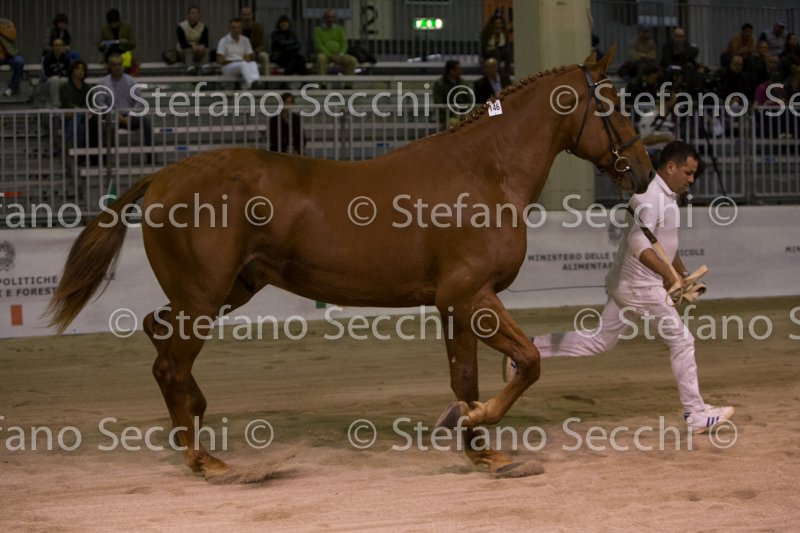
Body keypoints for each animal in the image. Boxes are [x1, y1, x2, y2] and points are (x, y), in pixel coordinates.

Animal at [47, 47, 653, 479]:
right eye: (615, 105)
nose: (645, 172)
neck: (483, 172)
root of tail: (162, 177)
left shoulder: (455, 305)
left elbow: (465, 378)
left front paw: (481, 451)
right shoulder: (471, 296)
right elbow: (527, 362)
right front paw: (480, 424)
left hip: (226, 291)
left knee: (160, 333)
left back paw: (194, 421)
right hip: (204, 296)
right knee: (169, 363)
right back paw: (203, 460)